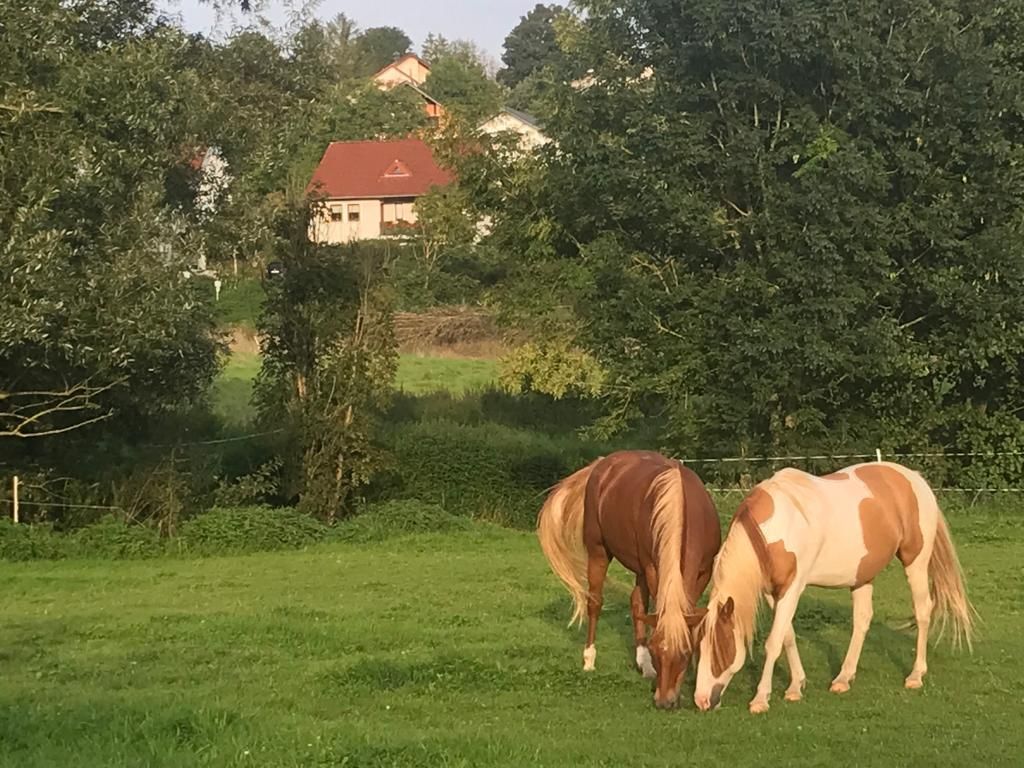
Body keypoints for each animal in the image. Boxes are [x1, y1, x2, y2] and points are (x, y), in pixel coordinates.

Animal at [537, 450, 722, 708]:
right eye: (656, 650)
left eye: (684, 653)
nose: (664, 702)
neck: (682, 509)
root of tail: (603, 463)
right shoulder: (653, 568)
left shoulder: (703, 572)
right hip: (599, 551)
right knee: (595, 602)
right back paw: (590, 659)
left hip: (639, 569)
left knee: (636, 603)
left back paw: (642, 665)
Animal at [693, 462, 976, 714]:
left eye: (720, 649)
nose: (701, 701)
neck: (776, 526)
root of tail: (914, 478)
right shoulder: (773, 592)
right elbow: (787, 636)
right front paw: (795, 687)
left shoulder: (792, 588)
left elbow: (773, 642)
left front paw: (761, 699)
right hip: (862, 576)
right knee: (862, 620)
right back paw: (843, 678)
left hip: (915, 562)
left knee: (923, 611)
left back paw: (916, 675)